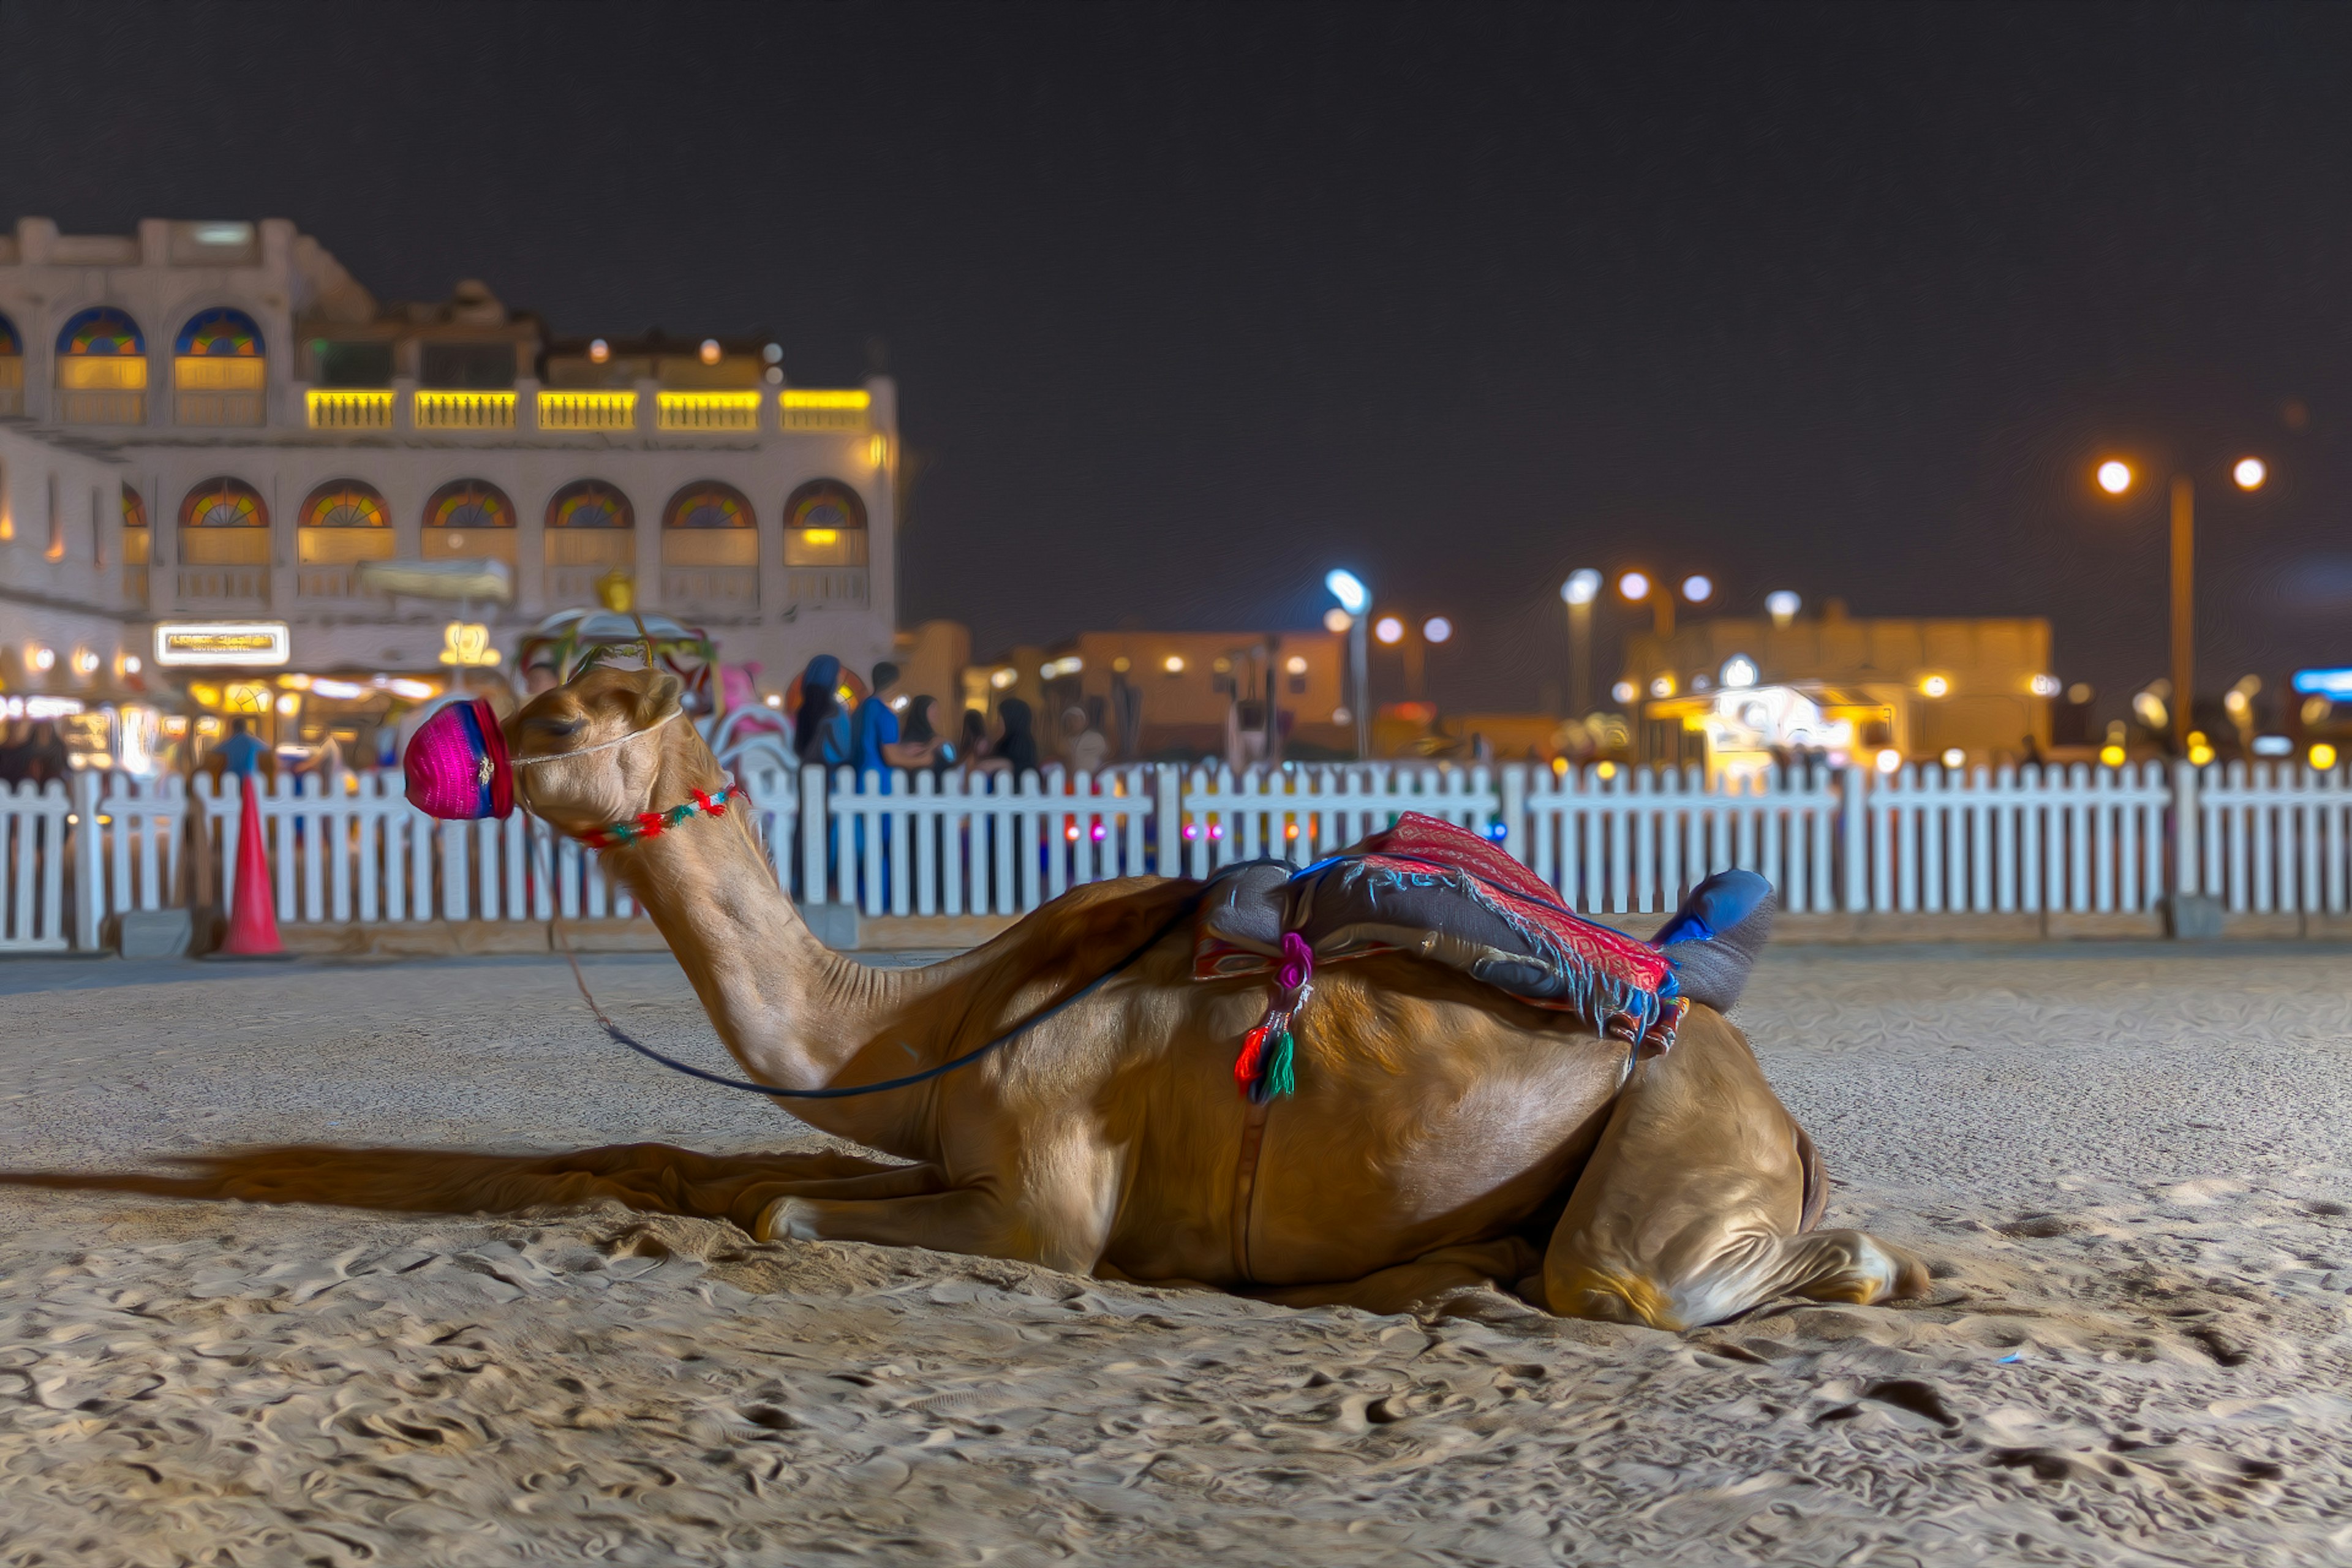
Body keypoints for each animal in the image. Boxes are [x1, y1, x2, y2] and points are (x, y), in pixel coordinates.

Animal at [18, 668, 1928, 1335]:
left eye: (559, 715)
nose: (424, 740)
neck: (918, 1022)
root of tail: (1787, 1118)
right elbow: (711, 1167)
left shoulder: (1039, 1198)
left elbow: (784, 1211)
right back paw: (1432, 1274)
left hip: (1673, 1151)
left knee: (1687, 1276)